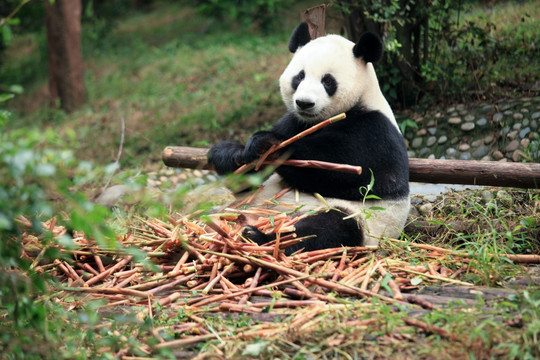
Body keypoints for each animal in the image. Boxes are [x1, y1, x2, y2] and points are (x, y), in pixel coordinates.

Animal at [207, 22, 410, 255]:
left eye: (328, 81)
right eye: (299, 76)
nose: (304, 103)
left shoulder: (375, 131)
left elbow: (345, 169)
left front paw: (271, 145)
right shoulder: (294, 121)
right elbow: (247, 178)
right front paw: (234, 152)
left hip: (360, 218)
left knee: (325, 228)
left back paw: (258, 237)